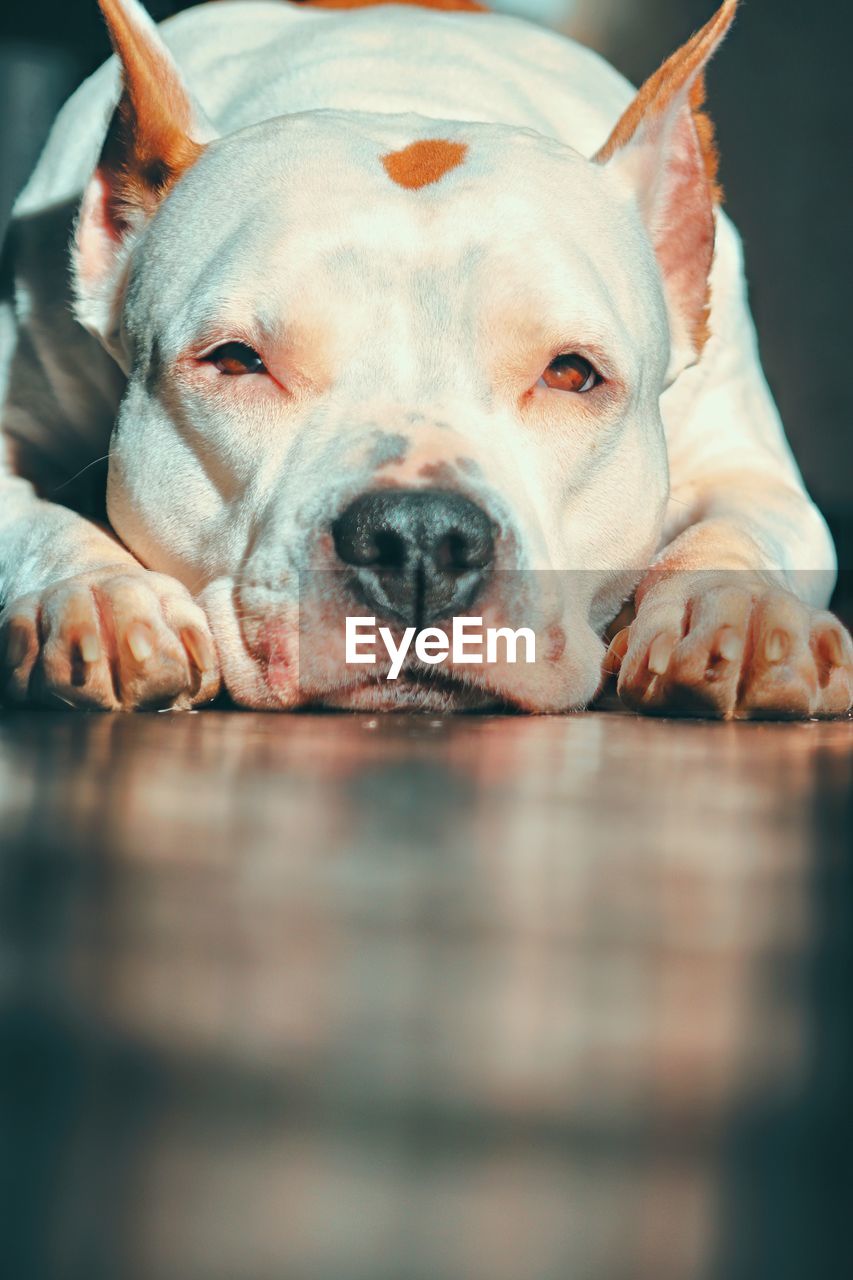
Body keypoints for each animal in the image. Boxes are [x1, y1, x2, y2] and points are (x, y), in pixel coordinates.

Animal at [0, 0, 845, 721]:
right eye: (237, 361)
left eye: (571, 374)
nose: (416, 538)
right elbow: (36, 519)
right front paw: (103, 595)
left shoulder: (755, 473)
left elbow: (740, 529)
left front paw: (736, 611)